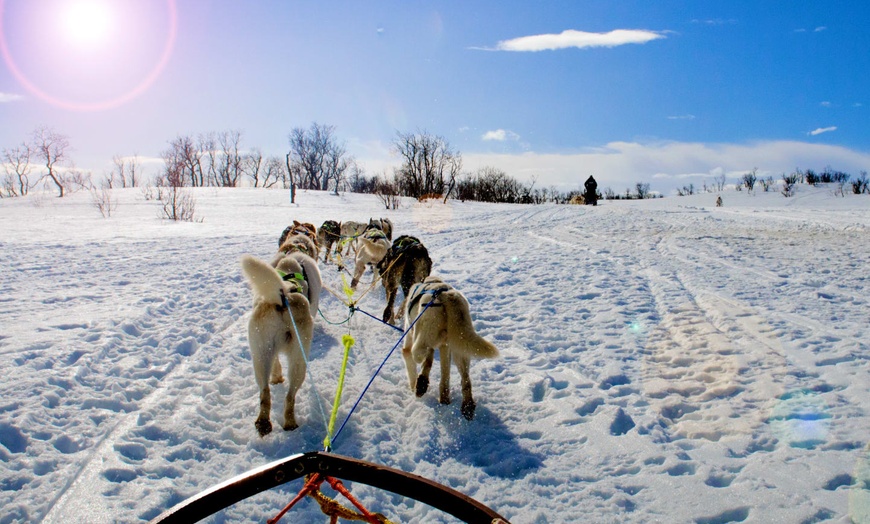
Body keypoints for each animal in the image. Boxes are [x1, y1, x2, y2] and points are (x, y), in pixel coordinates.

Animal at [240, 256, 316, 436]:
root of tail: (283, 298)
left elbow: (276, 362)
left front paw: (276, 378)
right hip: (299, 359)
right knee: (290, 396)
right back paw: (290, 424)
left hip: (261, 354)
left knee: (265, 392)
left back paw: (263, 423)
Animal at [402, 276, 498, 420]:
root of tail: (448, 296)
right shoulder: (445, 347)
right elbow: (444, 373)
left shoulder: (409, 341)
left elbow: (413, 362)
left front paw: (415, 386)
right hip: (460, 347)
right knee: (464, 380)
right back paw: (465, 406)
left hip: (421, 339)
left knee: (422, 355)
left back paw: (421, 384)